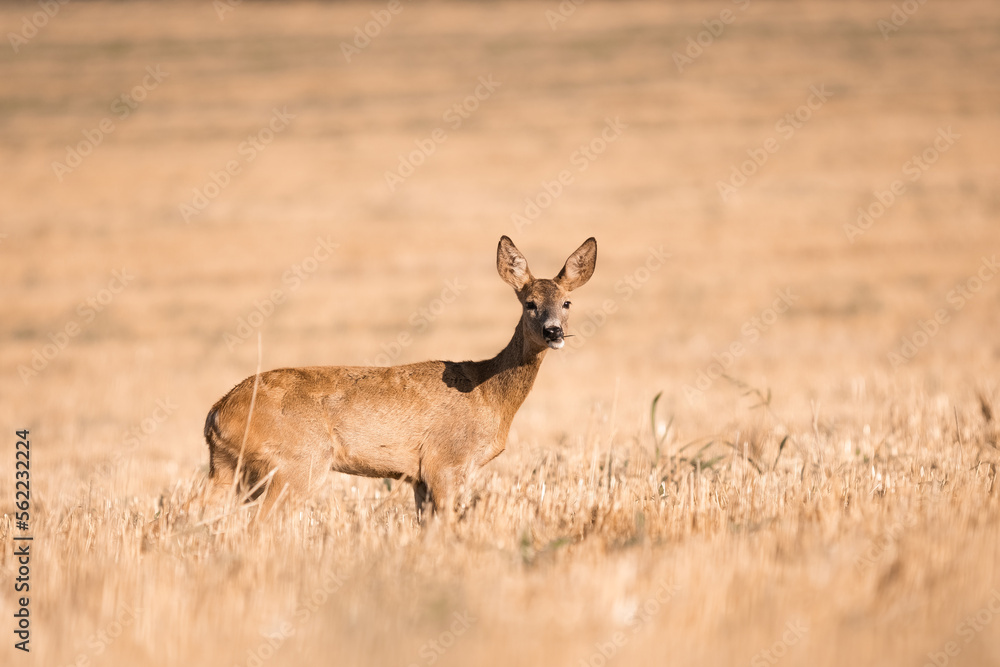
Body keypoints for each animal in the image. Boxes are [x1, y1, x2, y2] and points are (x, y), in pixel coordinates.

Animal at [203, 235, 597, 517]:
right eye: (529, 303)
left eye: (567, 302)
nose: (553, 332)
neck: (489, 395)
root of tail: (216, 413)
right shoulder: (446, 461)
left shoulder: (418, 477)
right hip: (296, 463)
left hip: (227, 469)